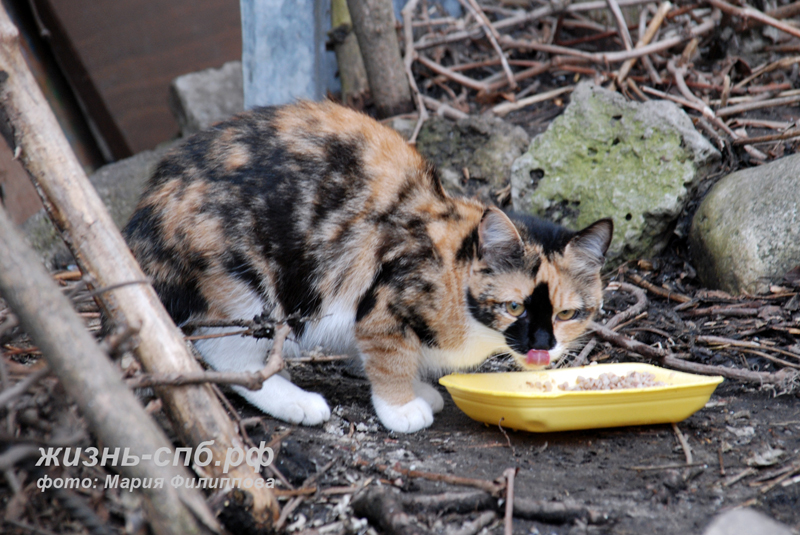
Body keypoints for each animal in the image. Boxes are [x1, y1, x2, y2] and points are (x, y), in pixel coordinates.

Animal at [125, 100, 612, 436]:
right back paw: (298, 402)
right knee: (226, 353)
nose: (542, 346)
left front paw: (418, 388)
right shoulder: (386, 296)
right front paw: (401, 406)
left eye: (567, 314)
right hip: (240, 282)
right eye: (514, 307)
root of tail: (144, 213)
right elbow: (388, 352)